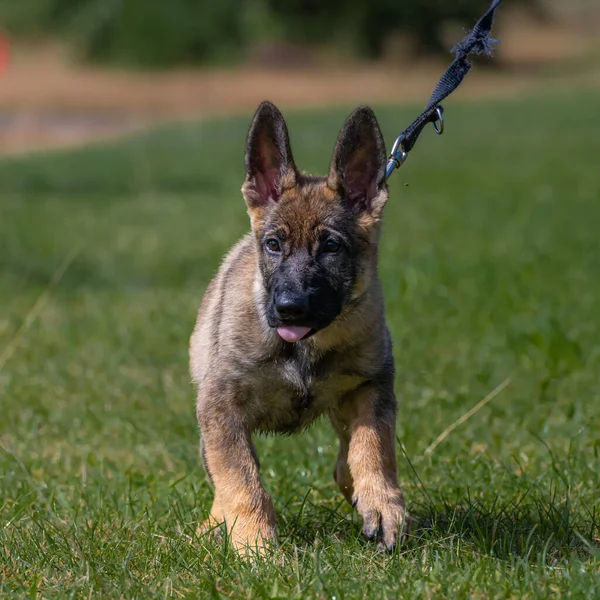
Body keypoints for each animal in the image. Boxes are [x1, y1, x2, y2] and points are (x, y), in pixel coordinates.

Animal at [190, 99, 410, 552]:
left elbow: (373, 447)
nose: (289, 308)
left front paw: (381, 502)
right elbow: (240, 481)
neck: (305, 349)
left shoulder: (372, 384)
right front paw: (256, 544)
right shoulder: (220, 407)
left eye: (331, 247)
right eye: (274, 245)